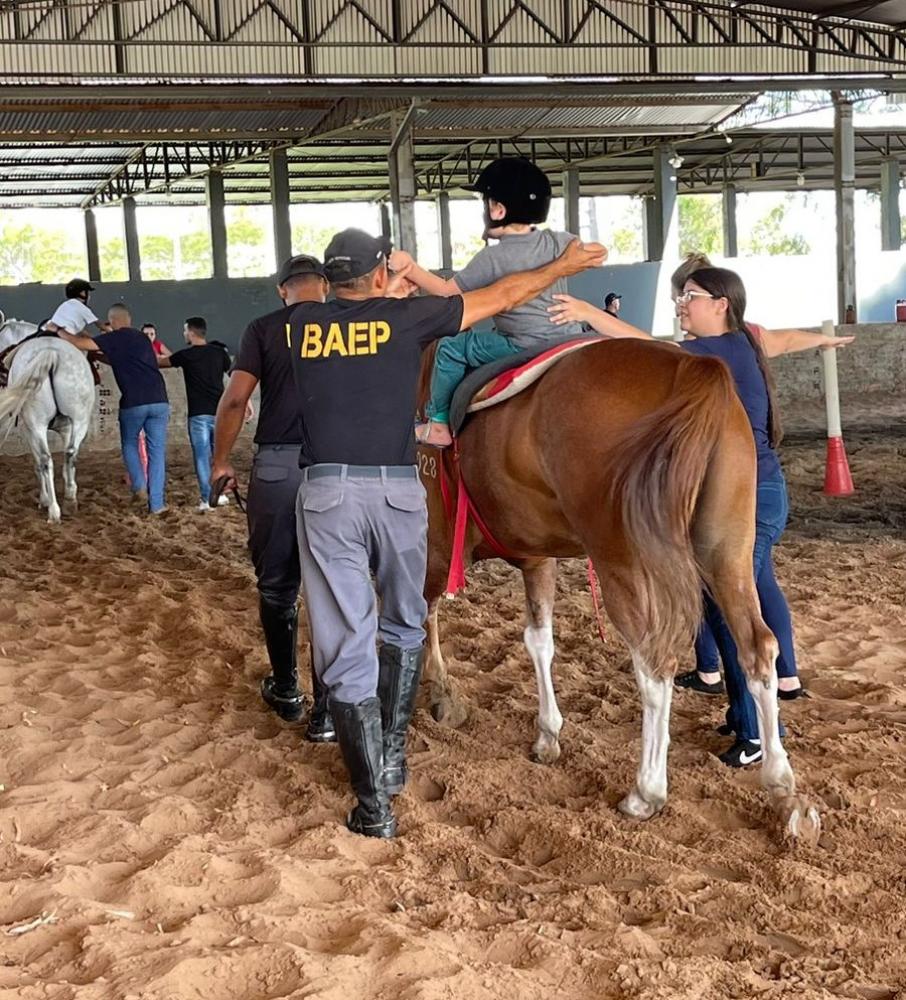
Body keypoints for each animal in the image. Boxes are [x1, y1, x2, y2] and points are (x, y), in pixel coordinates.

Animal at [416, 340, 820, 840]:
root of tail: (693, 371)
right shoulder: (536, 558)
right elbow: (538, 642)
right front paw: (547, 734)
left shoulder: (432, 543)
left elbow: (423, 616)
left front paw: (439, 694)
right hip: (728, 554)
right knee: (757, 648)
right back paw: (784, 790)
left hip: (624, 563)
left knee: (654, 666)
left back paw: (646, 792)